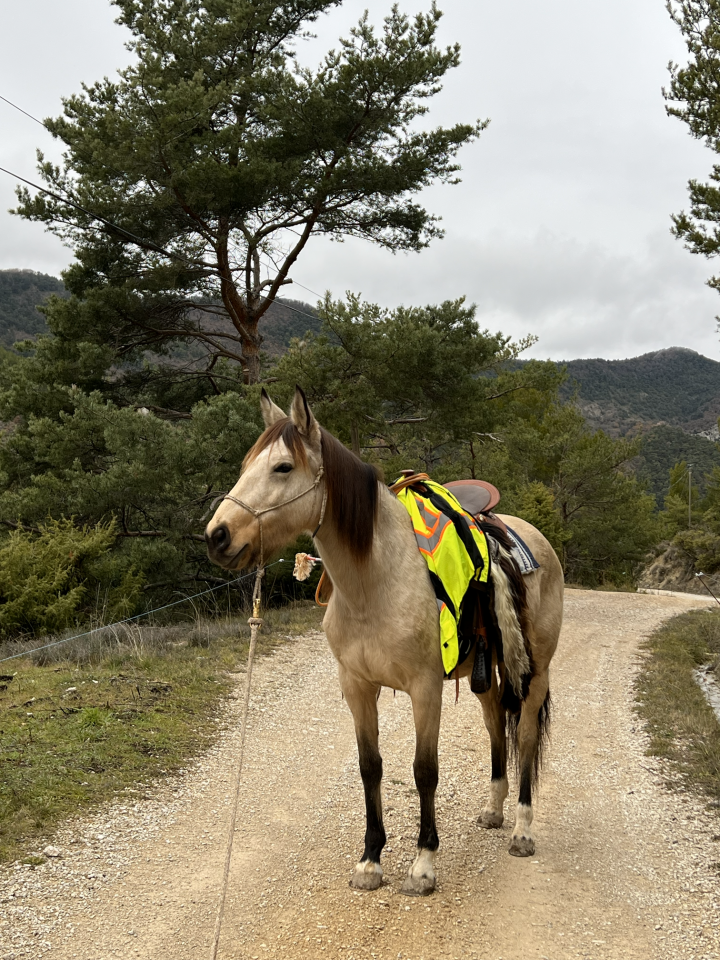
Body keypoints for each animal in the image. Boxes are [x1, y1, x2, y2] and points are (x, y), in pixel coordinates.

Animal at [205, 387, 564, 896]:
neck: (376, 583)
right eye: (245, 464)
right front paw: (371, 859)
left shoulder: (425, 689)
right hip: (487, 673)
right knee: (496, 723)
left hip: (536, 672)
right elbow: (369, 766)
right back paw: (494, 811)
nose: (217, 536)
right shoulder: (357, 686)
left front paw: (423, 864)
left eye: (283, 467)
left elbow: (424, 771)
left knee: (528, 738)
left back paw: (522, 830)